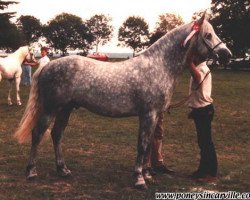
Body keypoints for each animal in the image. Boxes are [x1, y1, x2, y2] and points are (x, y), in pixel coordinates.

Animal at [15, 15, 230, 189]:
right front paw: (139, 180)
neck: (159, 66)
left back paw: (63, 170)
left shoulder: (153, 116)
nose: (227, 55)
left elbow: (148, 146)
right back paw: (31, 172)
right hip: (50, 109)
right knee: (38, 134)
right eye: (208, 35)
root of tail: (47, 66)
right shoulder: (148, 114)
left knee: (56, 134)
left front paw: (147, 175)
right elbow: (142, 145)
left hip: (65, 109)